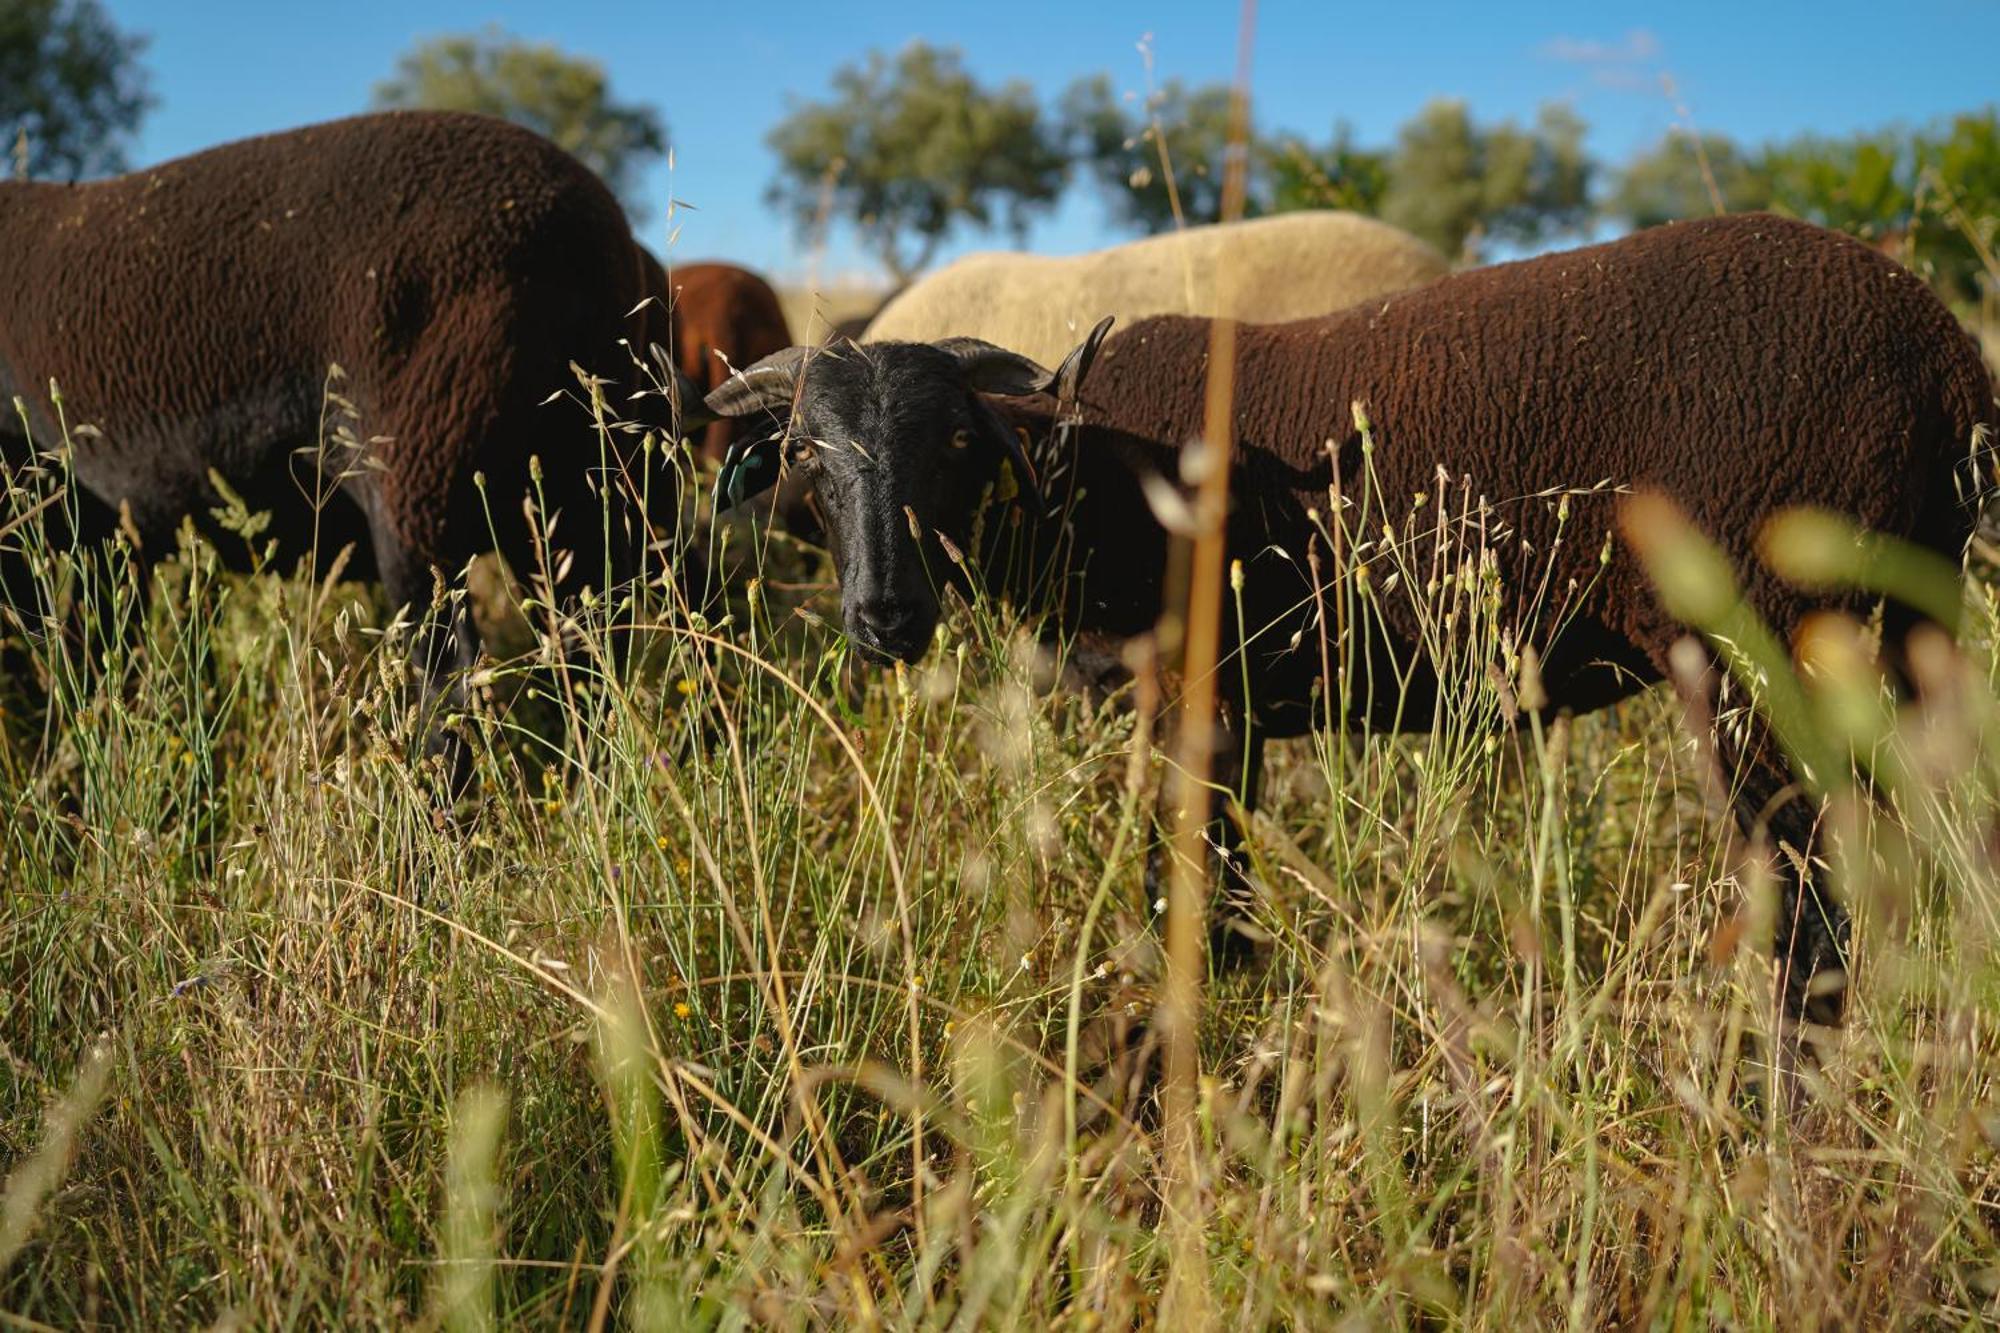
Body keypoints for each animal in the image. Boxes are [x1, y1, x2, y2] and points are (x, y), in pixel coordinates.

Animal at [0, 107, 680, 756]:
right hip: (580, 493)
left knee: (448, 688)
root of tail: (607, 246)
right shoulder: (106, 538)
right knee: (589, 653)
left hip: (423, 487)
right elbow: (103, 651)